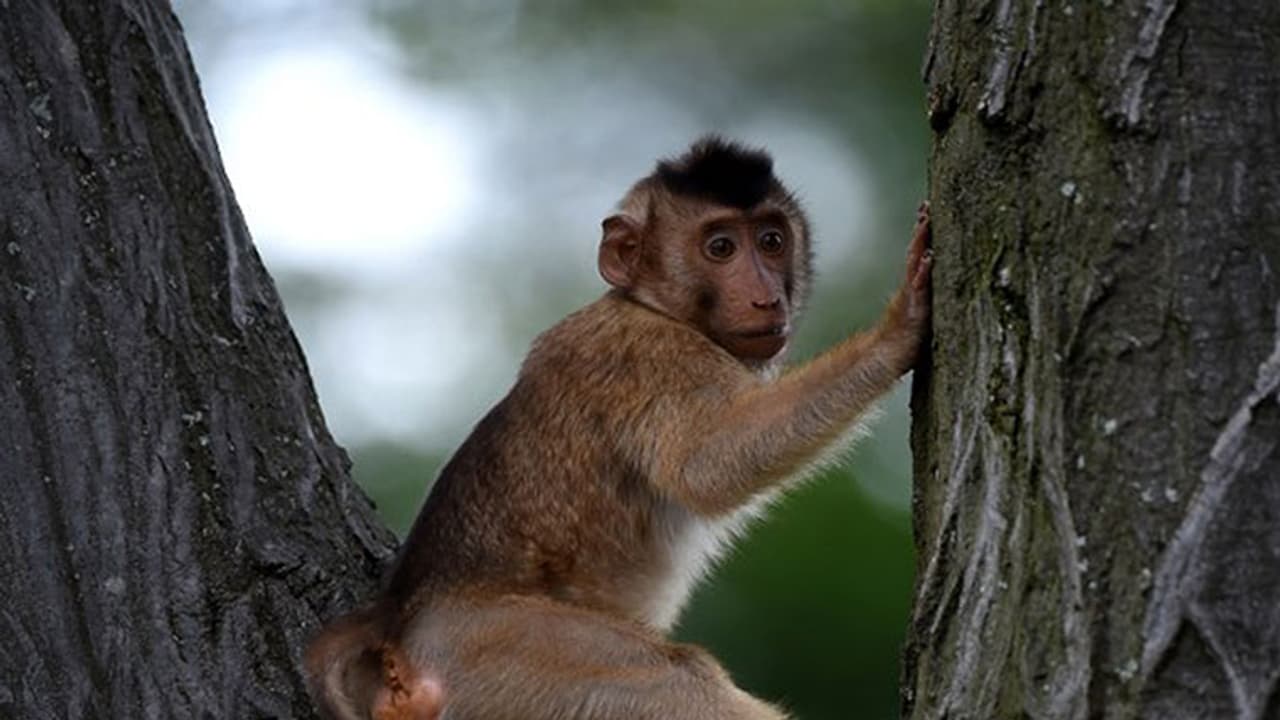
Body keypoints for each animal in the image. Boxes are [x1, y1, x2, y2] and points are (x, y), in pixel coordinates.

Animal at [304, 136, 933, 720]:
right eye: (721, 247)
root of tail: (397, 618)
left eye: (772, 240)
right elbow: (707, 465)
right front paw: (896, 329)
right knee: (677, 677)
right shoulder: (643, 356)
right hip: (498, 648)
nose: (765, 295)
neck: (651, 305)